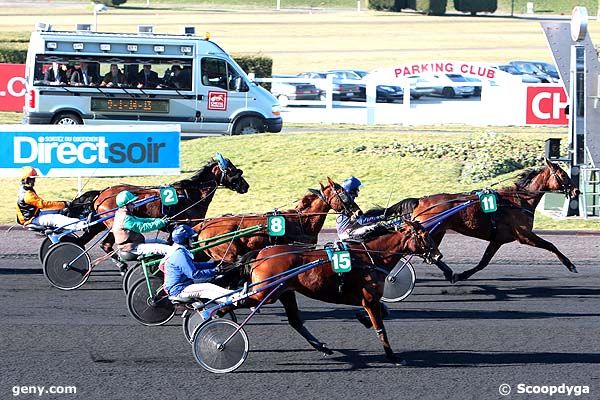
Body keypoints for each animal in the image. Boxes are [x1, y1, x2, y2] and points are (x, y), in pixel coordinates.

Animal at [236, 219, 446, 366]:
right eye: (424, 235)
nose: (438, 255)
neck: (370, 257)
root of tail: (261, 254)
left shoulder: (370, 299)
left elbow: (383, 312)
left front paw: (363, 319)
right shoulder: (370, 300)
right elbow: (381, 329)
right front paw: (393, 356)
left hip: (285, 292)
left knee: (295, 321)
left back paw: (322, 346)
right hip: (267, 293)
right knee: (239, 302)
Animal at [380, 158, 580, 282]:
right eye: (563, 175)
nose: (577, 191)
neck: (518, 201)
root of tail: (420, 200)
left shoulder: (498, 239)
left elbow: (483, 262)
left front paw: (462, 275)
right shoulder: (524, 235)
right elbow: (550, 245)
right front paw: (571, 265)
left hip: (436, 231)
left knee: (430, 254)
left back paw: (449, 273)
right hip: (430, 230)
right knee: (422, 253)